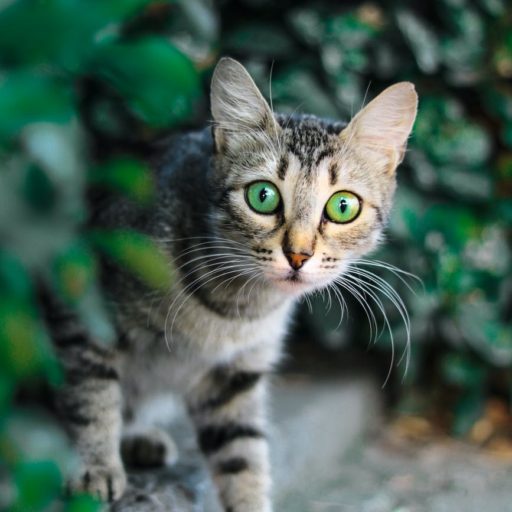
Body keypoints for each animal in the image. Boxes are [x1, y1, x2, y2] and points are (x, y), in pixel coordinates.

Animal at [49, 58, 416, 510]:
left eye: (343, 206)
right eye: (263, 196)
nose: (298, 254)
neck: (238, 309)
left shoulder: (236, 377)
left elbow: (244, 458)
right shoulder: (83, 303)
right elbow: (91, 392)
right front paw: (95, 466)